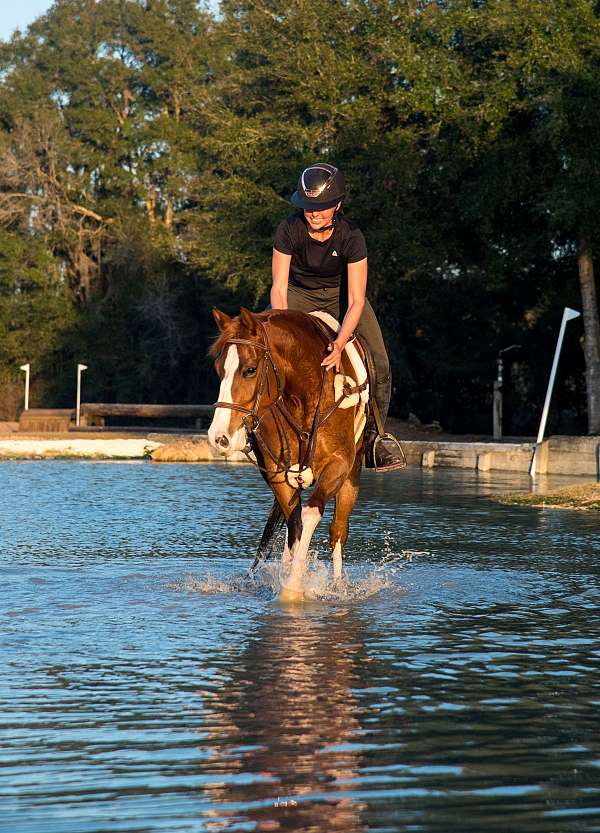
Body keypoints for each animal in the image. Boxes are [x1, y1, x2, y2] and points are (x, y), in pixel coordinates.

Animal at [206, 306, 368, 600]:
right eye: (218, 369)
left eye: (250, 370)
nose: (219, 437)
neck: (305, 395)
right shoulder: (279, 474)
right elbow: (295, 524)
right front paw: (290, 580)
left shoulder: (338, 466)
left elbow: (310, 514)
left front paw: (293, 585)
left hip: (352, 475)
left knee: (338, 529)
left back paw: (337, 586)